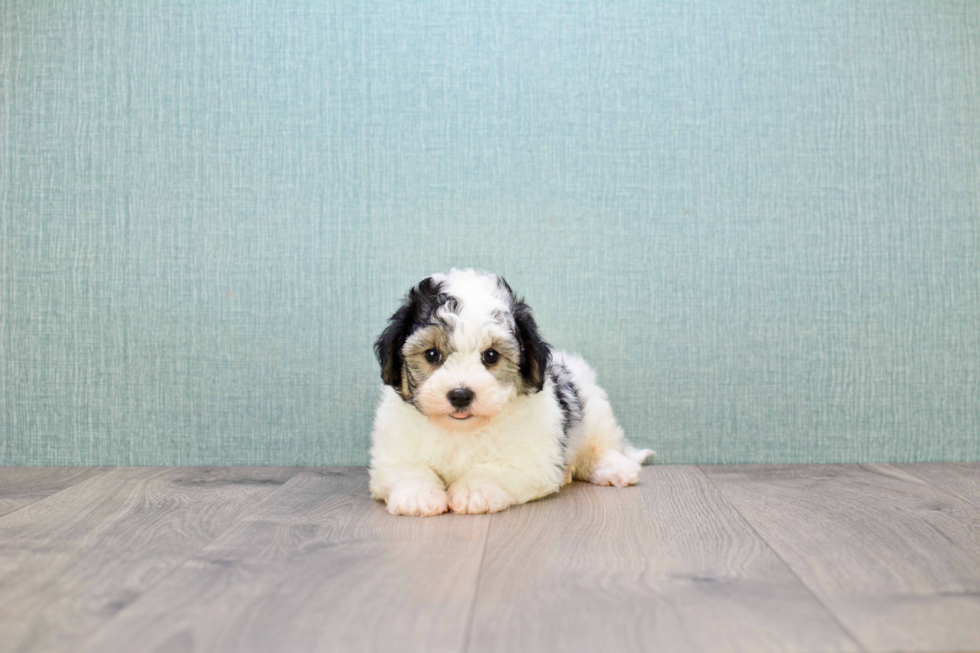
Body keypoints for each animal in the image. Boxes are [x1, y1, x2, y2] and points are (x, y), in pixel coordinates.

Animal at [368, 268, 652, 516]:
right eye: (431, 354)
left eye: (491, 356)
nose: (460, 395)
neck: (462, 431)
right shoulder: (393, 451)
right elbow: (407, 468)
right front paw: (418, 495)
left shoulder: (527, 458)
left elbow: (495, 470)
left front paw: (474, 491)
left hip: (594, 415)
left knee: (600, 447)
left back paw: (616, 469)